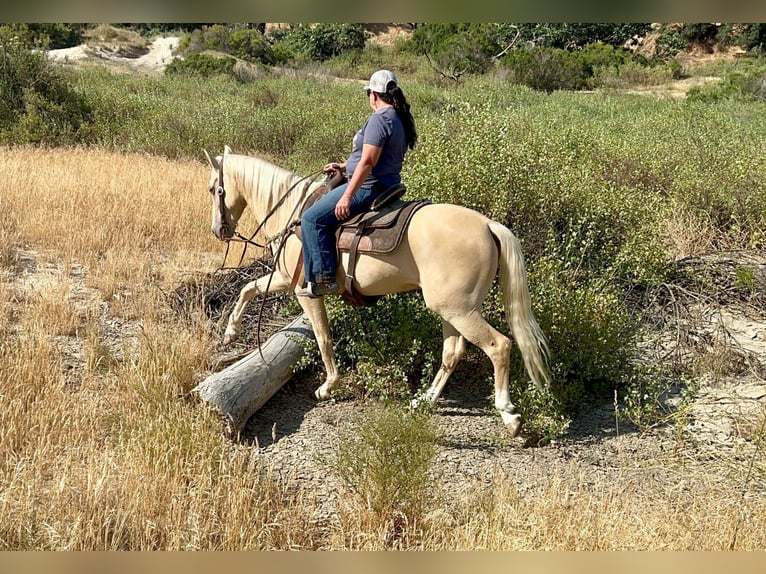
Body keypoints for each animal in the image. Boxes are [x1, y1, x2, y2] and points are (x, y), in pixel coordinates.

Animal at [206, 147, 552, 436]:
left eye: (213, 189)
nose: (218, 231)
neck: (292, 213)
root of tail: (487, 225)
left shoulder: (306, 292)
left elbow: (322, 337)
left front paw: (328, 386)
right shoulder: (282, 278)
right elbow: (248, 289)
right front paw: (230, 333)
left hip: (460, 311)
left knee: (499, 346)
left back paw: (508, 414)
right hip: (451, 309)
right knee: (452, 352)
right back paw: (424, 400)